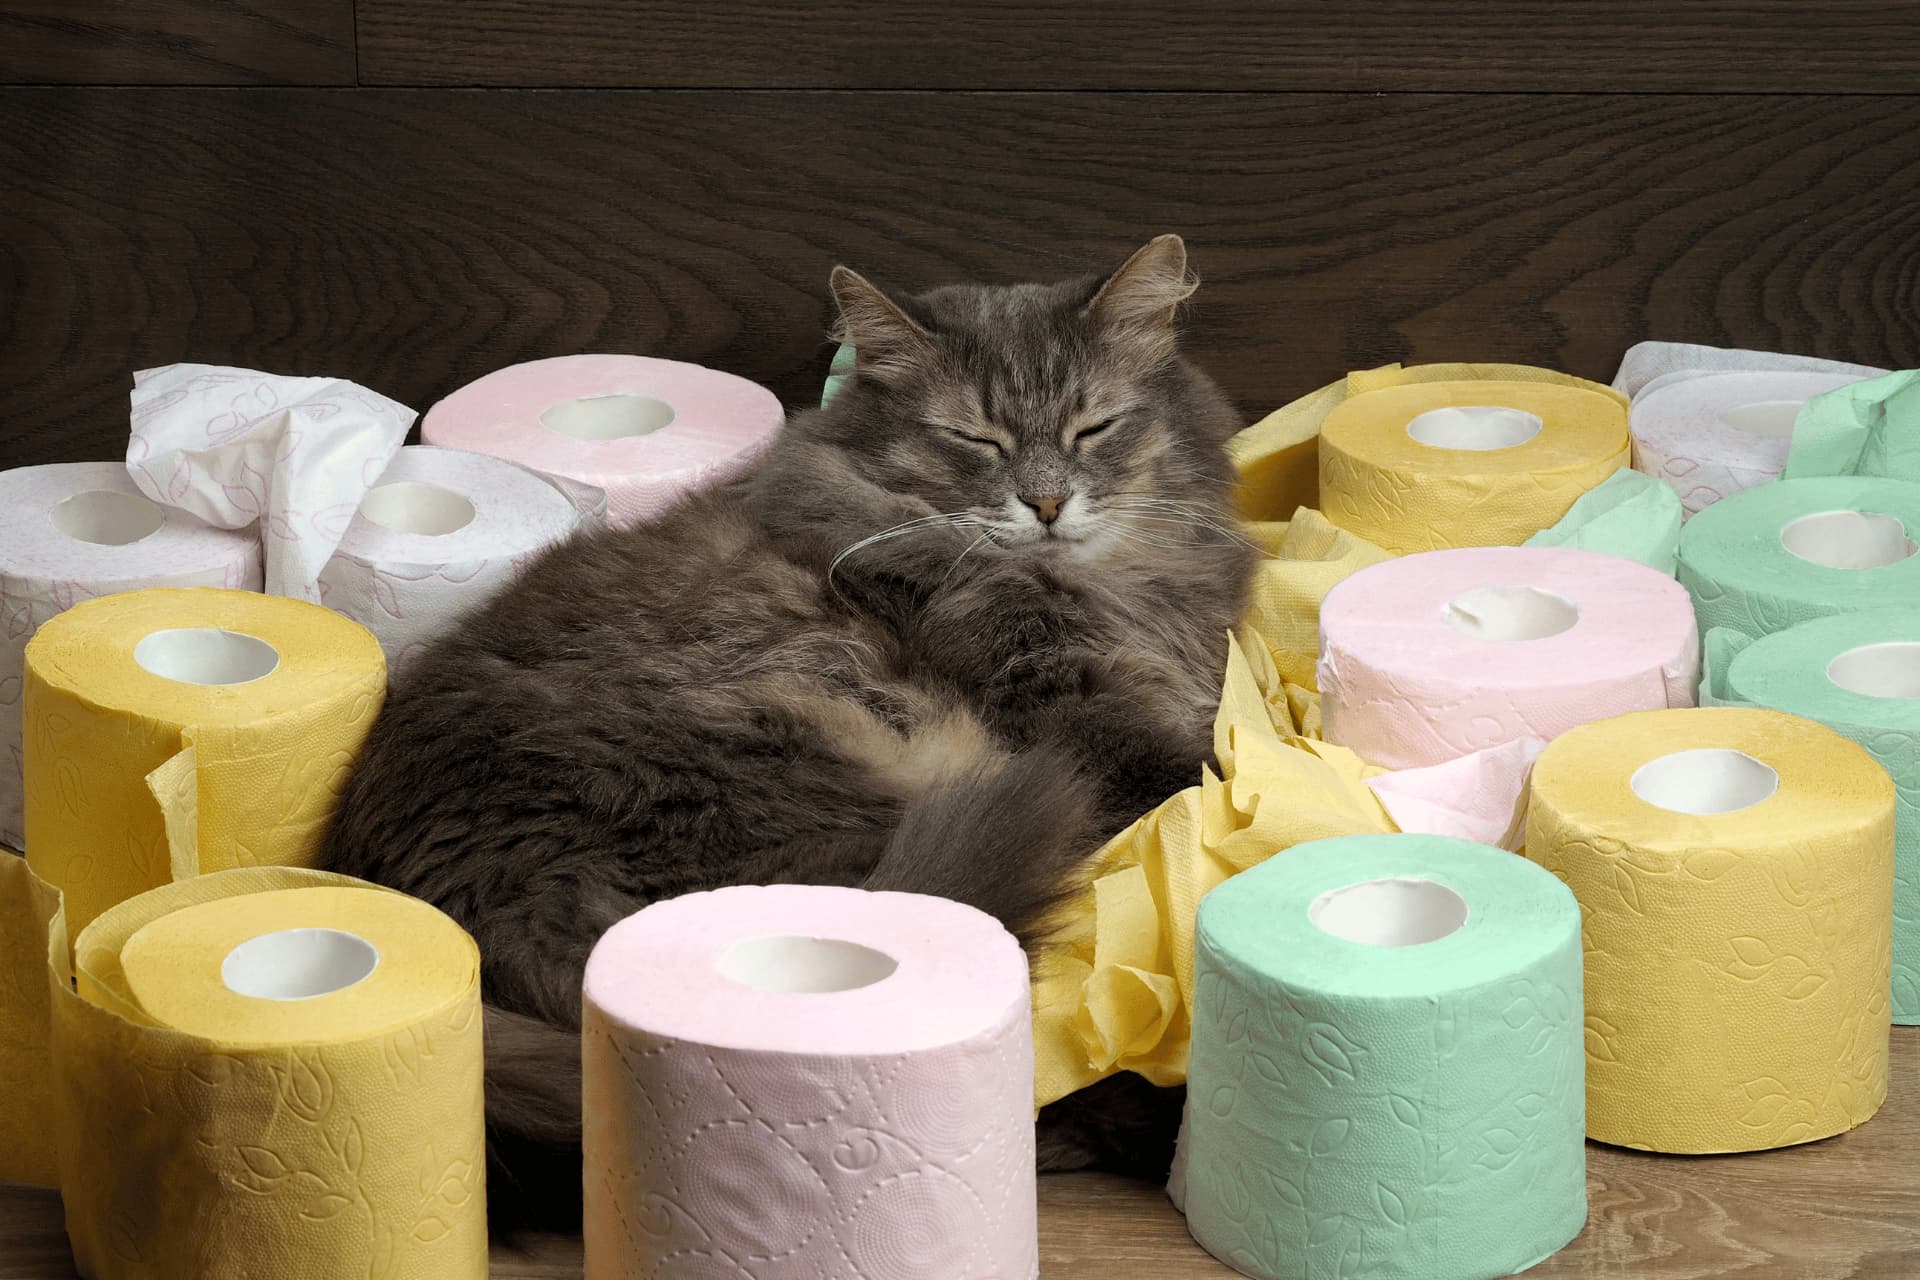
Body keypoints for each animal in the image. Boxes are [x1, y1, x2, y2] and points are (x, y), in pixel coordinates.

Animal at [318, 233, 1259, 1228]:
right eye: (975, 440)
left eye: (1092, 428)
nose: (1045, 505)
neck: (1110, 585)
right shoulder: (1085, 717)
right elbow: (1200, 769)